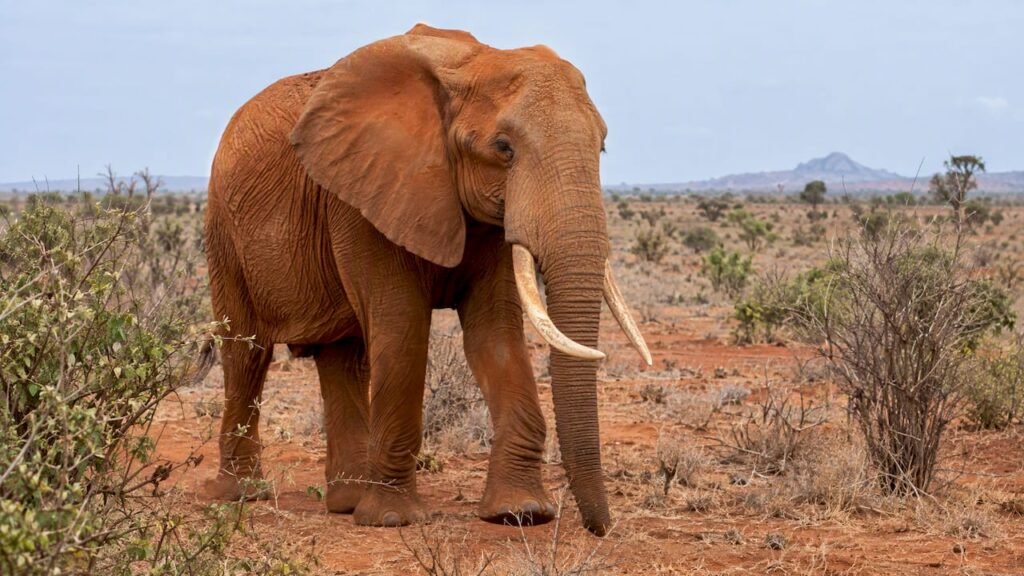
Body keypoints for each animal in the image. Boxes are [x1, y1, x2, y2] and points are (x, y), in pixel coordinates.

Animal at [203, 23, 651, 536]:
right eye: (504, 149)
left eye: (602, 146)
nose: (600, 528)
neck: (471, 62)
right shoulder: (364, 197)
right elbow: (403, 331)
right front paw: (392, 519)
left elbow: (496, 336)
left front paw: (520, 513)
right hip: (223, 229)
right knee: (247, 353)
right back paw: (242, 495)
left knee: (342, 357)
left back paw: (347, 501)